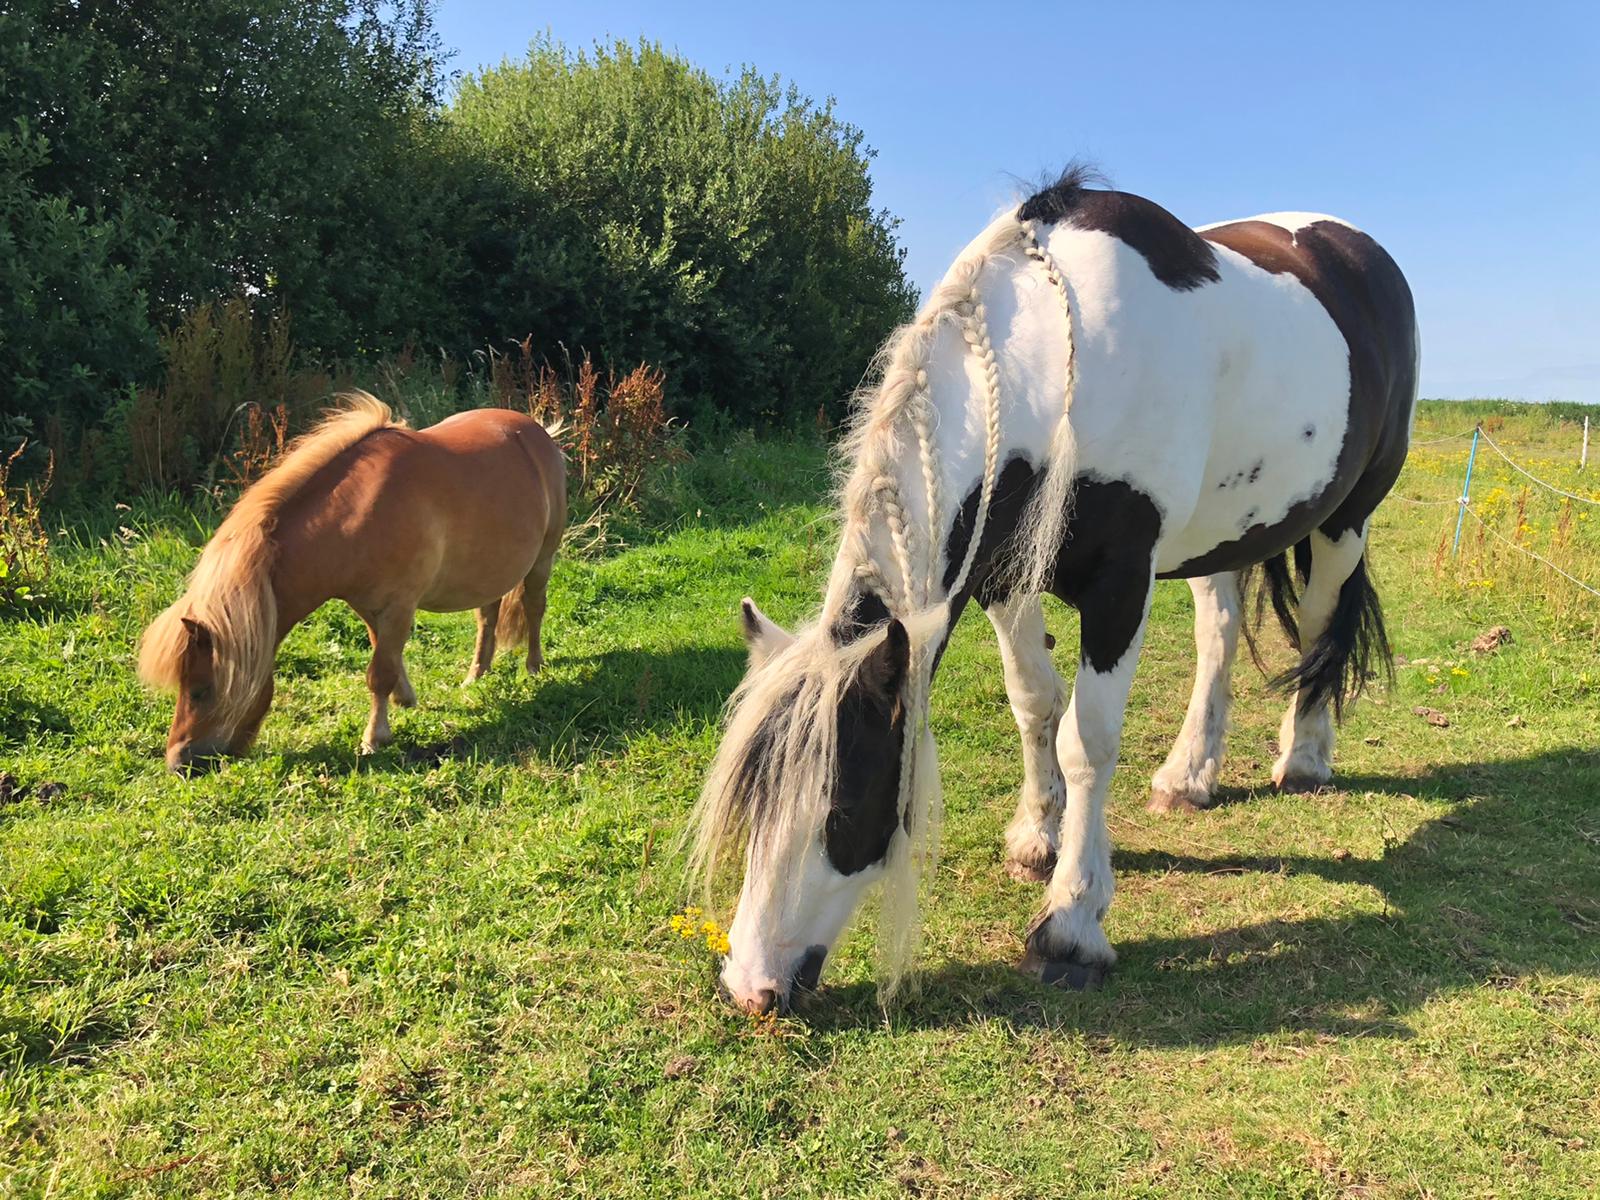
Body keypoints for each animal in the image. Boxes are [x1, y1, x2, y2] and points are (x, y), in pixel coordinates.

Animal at [139, 393, 566, 772]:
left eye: (202, 690)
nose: (177, 763)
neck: (358, 512)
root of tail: (536, 430)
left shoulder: (398, 606)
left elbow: (379, 673)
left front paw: (374, 738)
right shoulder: (369, 607)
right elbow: (387, 655)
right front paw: (405, 699)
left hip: (542, 560)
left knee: (534, 608)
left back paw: (533, 668)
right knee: (487, 616)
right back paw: (476, 674)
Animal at [690, 166, 1418, 1014]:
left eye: (842, 806)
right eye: (752, 800)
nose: (750, 985)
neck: (1055, 360)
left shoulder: (1120, 581)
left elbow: (1087, 740)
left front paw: (1071, 921)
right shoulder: (1004, 575)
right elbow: (1035, 704)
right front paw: (1038, 838)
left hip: (1348, 518)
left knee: (1322, 623)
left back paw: (1303, 757)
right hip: (1222, 535)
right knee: (1219, 635)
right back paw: (1188, 776)